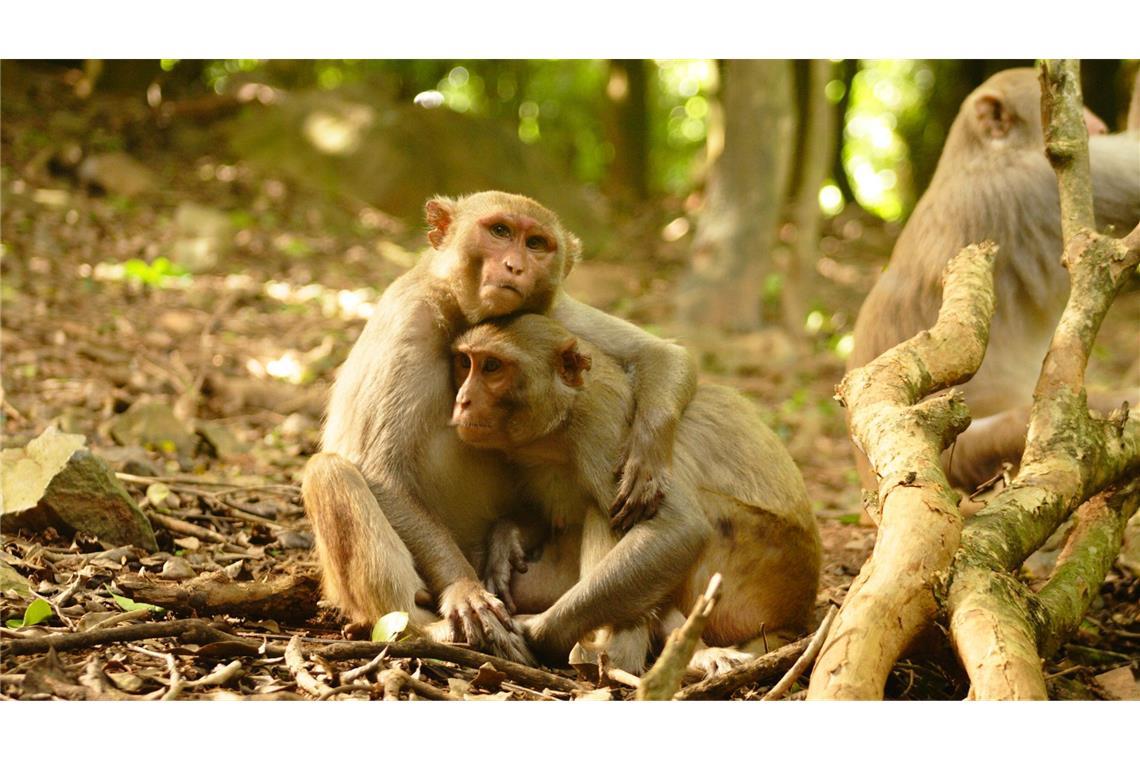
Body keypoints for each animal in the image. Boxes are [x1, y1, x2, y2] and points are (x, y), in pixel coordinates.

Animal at [303, 191, 693, 660]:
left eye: (537, 244)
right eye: (500, 231)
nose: (515, 266)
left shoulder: (554, 312)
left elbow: (661, 354)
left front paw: (645, 460)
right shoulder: (408, 319)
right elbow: (378, 468)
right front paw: (463, 589)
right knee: (330, 472)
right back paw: (423, 628)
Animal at [446, 314, 820, 669]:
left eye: (492, 367)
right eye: (465, 363)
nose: (462, 401)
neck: (560, 424)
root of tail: (798, 614)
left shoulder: (604, 430)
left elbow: (678, 527)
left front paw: (534, 633)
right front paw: (506, 539)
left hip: (756, 568)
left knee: (612, 514)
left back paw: (616, 655)